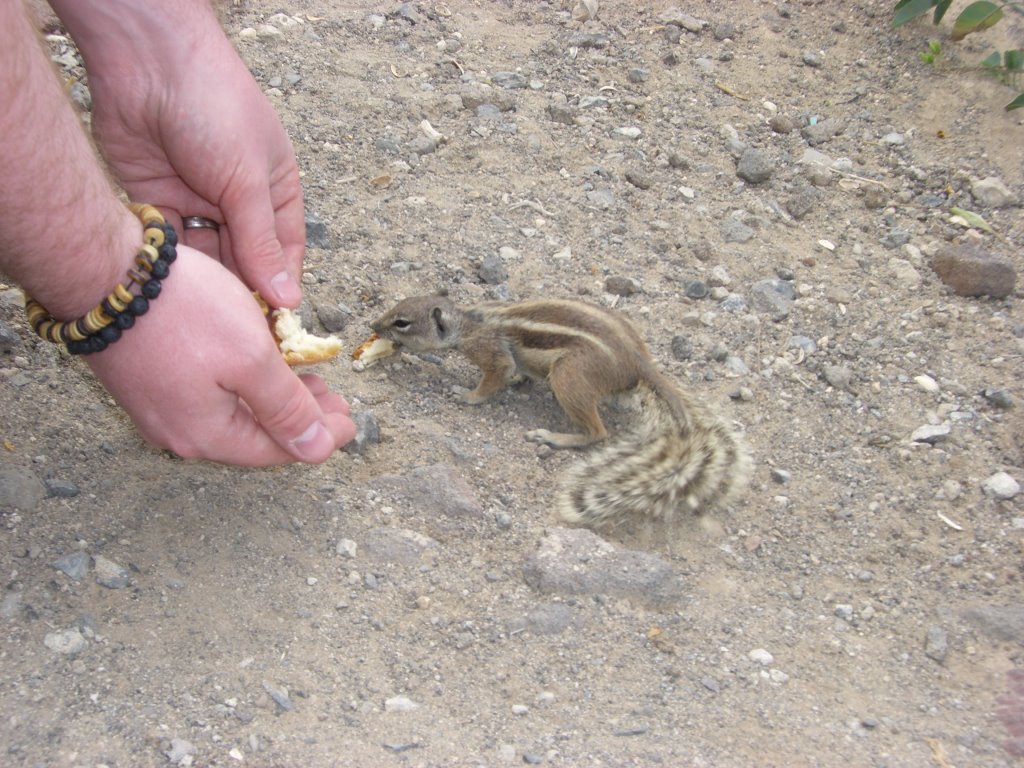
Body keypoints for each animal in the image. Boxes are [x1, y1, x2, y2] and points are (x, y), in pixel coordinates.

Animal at [372, 294, 749, 528]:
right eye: (397, 307)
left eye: (403, 322)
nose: (373, 326)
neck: (469, 321)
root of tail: (639, 361)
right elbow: (516, 373)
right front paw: (517, 382)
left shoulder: (490, 352)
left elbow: (494, 378)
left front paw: (466, 395)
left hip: (569, 376)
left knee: (597, 431)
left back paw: (553, 436)